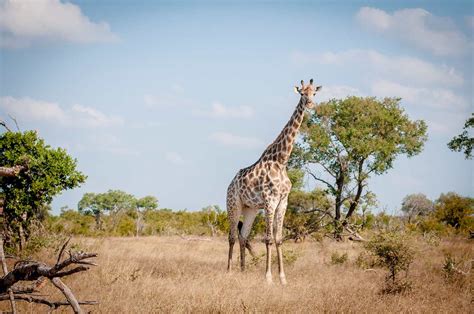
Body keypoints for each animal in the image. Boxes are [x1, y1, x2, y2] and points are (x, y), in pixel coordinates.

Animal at [227, 79, 322, 284]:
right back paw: (229, 271)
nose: (310, 104)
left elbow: (278, 239)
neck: (281, 160)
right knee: (231, 236)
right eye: (302, 93)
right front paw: (268, 278)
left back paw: (243, 271)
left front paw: (283, 278)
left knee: (243, 236)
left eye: (314, 93)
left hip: (251, 209)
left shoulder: (283, 201)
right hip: (233, 204)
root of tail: (230, 184)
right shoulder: (270, 201)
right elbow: (268, 239)